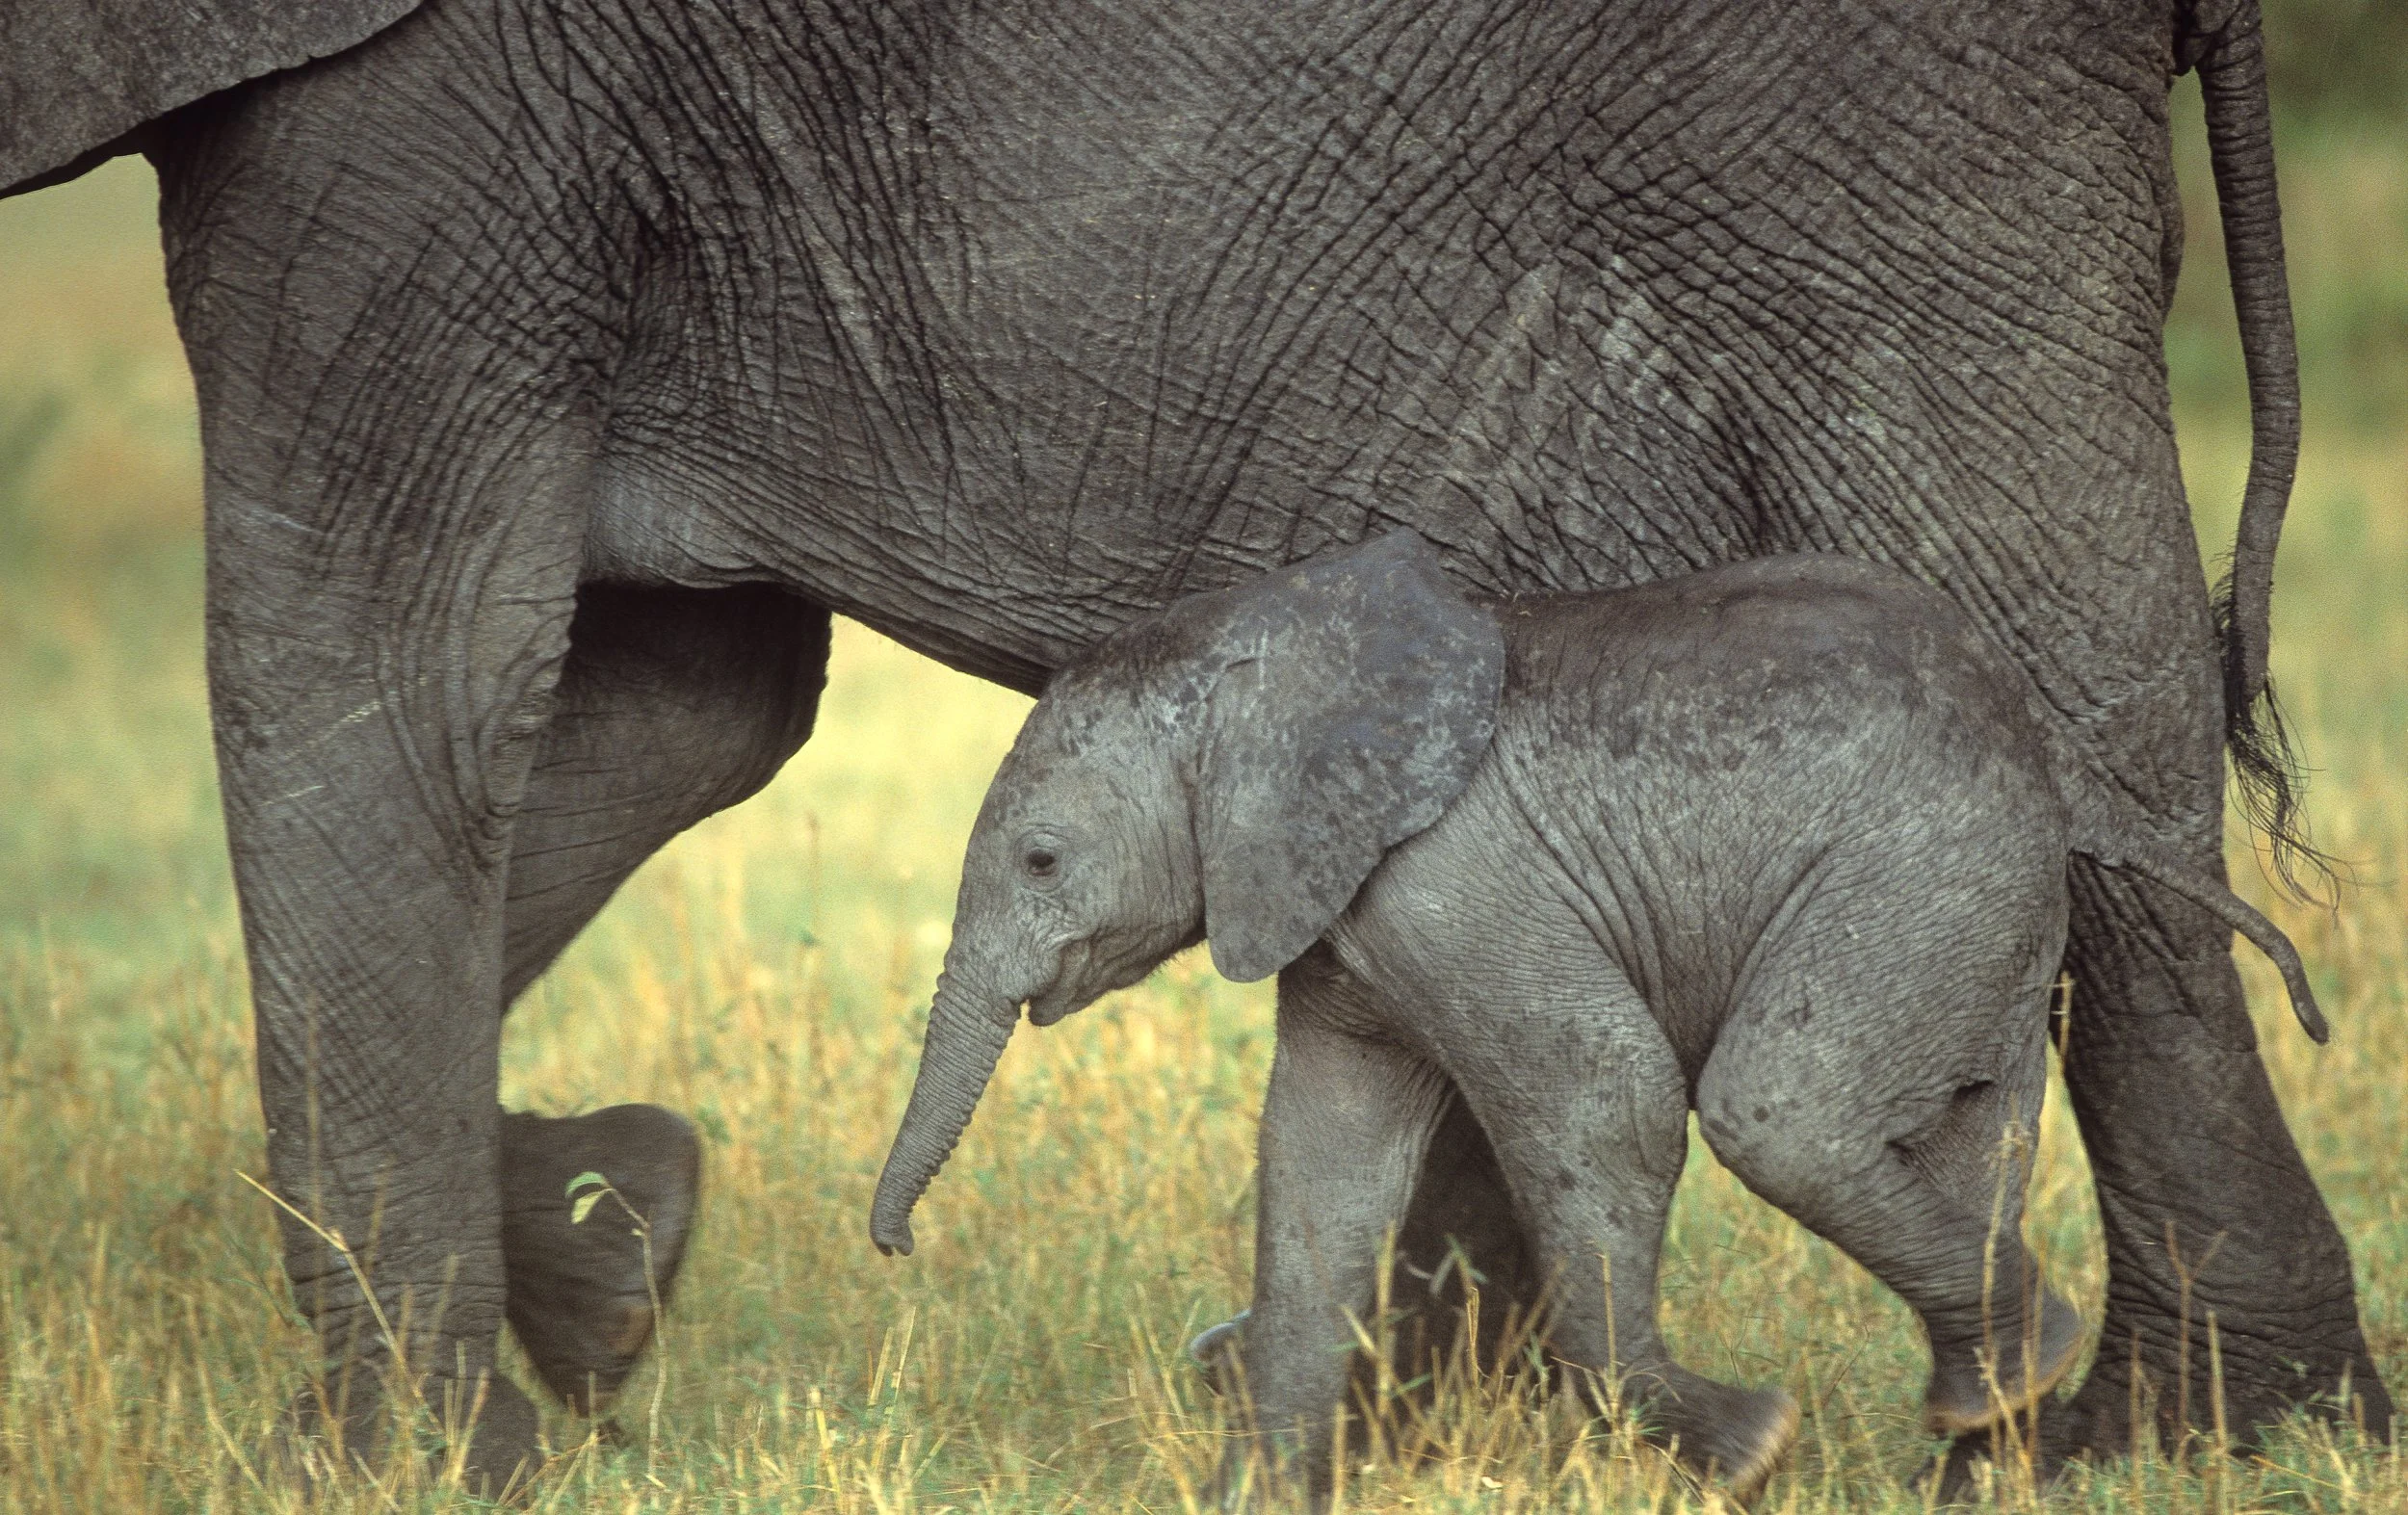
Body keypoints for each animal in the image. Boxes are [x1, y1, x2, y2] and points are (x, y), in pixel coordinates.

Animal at [868, 534, 2329, 1501]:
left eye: (1042, 862)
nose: (893, 1246)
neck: (1257, 665)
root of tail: (2052, 767)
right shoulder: (1342, 917)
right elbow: (1319, 1165)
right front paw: (1252, 1497)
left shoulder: (1450, 878)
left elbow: (1598, 1099)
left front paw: (1751, 1449)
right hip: (1992, 915)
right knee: (1973, 1137)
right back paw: (1996, 1412)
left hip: (1920, 869)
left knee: (1784, 1115)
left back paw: (2014, 1382)